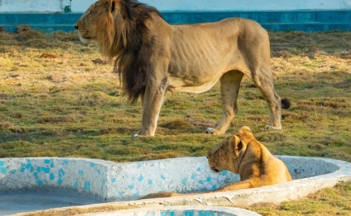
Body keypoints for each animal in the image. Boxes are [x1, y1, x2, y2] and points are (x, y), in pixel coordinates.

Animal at [75, 0, 292, 138]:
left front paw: (144, 134)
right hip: (229, 77)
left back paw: (274, 126)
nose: (75, 26)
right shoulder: (145, 79)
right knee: (231, 107)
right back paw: (216, 131)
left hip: (258, 70)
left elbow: (149, 109)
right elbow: (147, 108)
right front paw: (144, 131)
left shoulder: (156, 79)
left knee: (274, 98)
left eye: (91, 12)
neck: (129, 39)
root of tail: (260, 26)